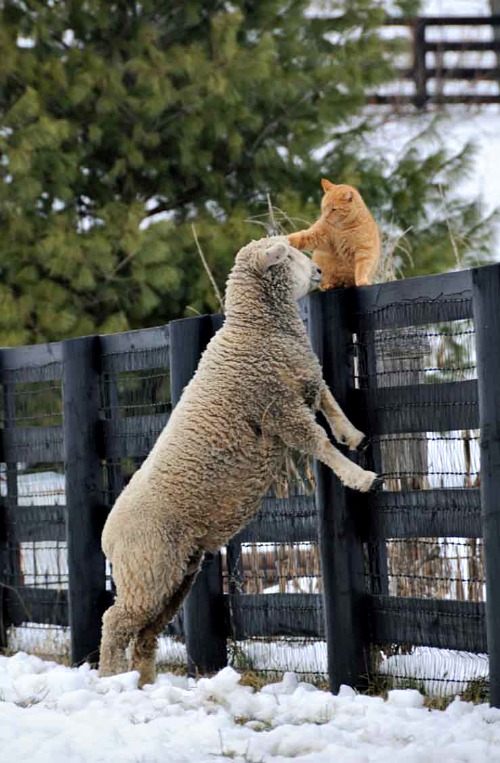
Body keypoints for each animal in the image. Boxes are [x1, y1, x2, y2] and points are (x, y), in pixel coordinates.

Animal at [99, 235, 382, 686]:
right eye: (287, 255)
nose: (320, 272)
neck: (255, 329)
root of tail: (107, 536)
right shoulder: (278, 408)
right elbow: (317, 441)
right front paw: (359, 476)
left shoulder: (299, 380)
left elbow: (328, 399)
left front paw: (352, 434)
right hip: (148, 569)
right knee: (116, 623)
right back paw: (112, 681)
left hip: (175, 574)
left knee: (145, 634)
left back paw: (142, 683)